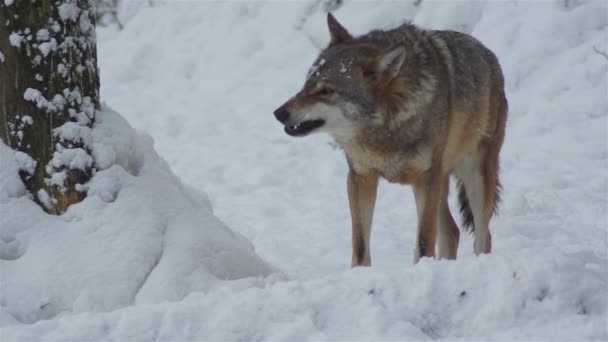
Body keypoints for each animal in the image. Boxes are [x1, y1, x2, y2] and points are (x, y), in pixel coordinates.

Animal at [274, 13, 506, 266]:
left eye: (326, 91)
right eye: (306, 84)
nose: (279, 113)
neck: (385, 128)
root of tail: (489, 54)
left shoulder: (426, 179)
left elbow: (424, 241)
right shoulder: (360, 178)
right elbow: (360, 245)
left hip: (473, 177)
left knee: (483, 236)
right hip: (440, 184)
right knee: (452, 232)